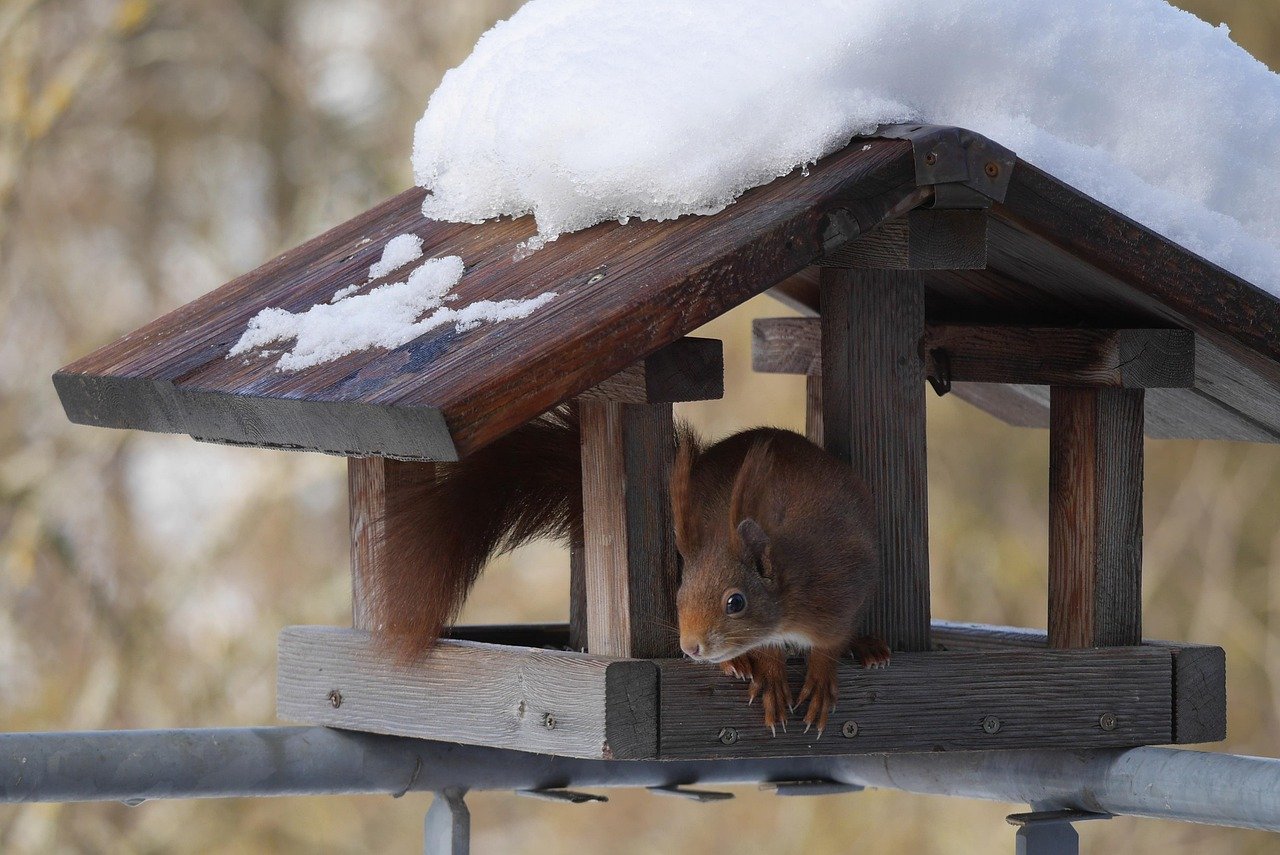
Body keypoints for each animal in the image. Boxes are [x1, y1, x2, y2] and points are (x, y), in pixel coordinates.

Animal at [371, 404, 889, 734]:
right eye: (678, 594)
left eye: (736, 602)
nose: (691, 647)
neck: (790, 591)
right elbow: (768, 653)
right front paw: (769, 674)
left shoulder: (841, 593)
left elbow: (829, 643)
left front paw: (820, 678)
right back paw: (738, 663)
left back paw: (869, 647)